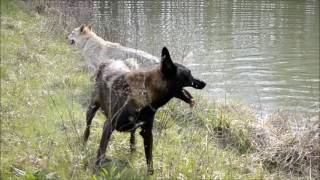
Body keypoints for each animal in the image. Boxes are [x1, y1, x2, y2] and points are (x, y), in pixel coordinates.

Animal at [84, 46, 206, 174]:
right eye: (189, 74)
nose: (204, 83)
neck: (145, 93)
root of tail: (107, 61)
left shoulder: (147, 132)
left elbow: (149, 159)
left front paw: (149, 174)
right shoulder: (108, 126)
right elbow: (101, 152)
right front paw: (96, 170)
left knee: (132, 135)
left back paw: (133, 149)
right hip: (91, 109)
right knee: (88, 128)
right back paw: (84, 144)